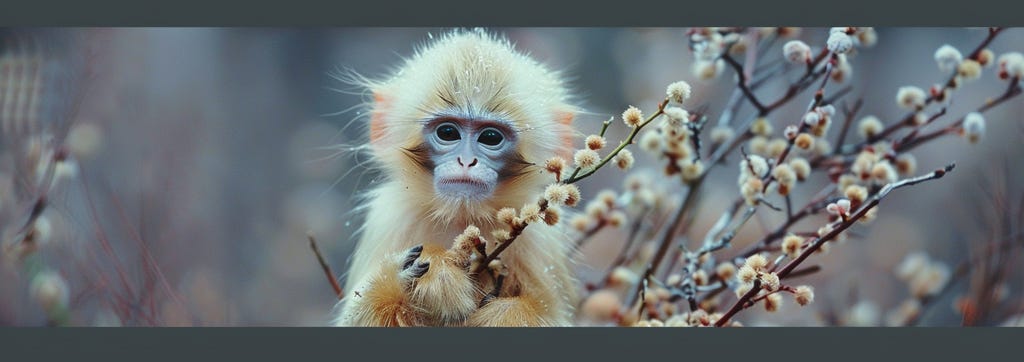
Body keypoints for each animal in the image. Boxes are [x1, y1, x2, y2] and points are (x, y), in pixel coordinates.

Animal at [331, 29, 581, 327]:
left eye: (490, 137)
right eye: (448, 133)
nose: (466, 161)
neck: (461, 218)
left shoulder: (539, 238)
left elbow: (551, 316)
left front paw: (498, 316)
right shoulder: (389, 217)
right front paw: (426, 273)